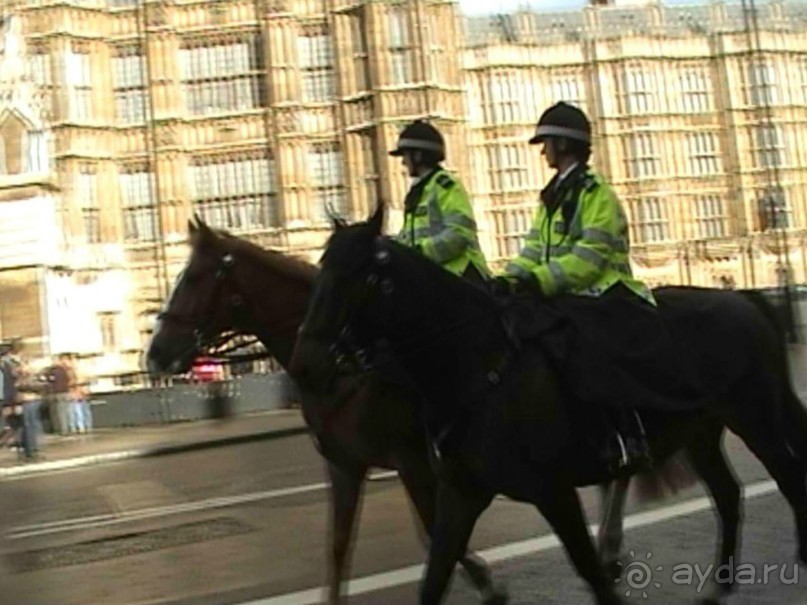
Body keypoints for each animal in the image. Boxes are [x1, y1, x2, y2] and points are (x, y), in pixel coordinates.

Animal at [147, 218, 504, 604]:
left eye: (193, 277)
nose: (153, 354)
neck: (344, 366)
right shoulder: (344, 464)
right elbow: (338, 546)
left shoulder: (412, 461)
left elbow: (435, 531)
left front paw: (486, 581)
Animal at [294, 204, 807, 604]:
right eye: (320, 267)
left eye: (362, 277)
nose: (305, 364)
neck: (475, 365)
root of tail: (743, 299)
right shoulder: (460, 493)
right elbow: (433, 579)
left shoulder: (553, 491)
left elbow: (592, 576)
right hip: (700, 431)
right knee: (727, 493)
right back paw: (718, 585)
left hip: (756, 418)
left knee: (786, 476)